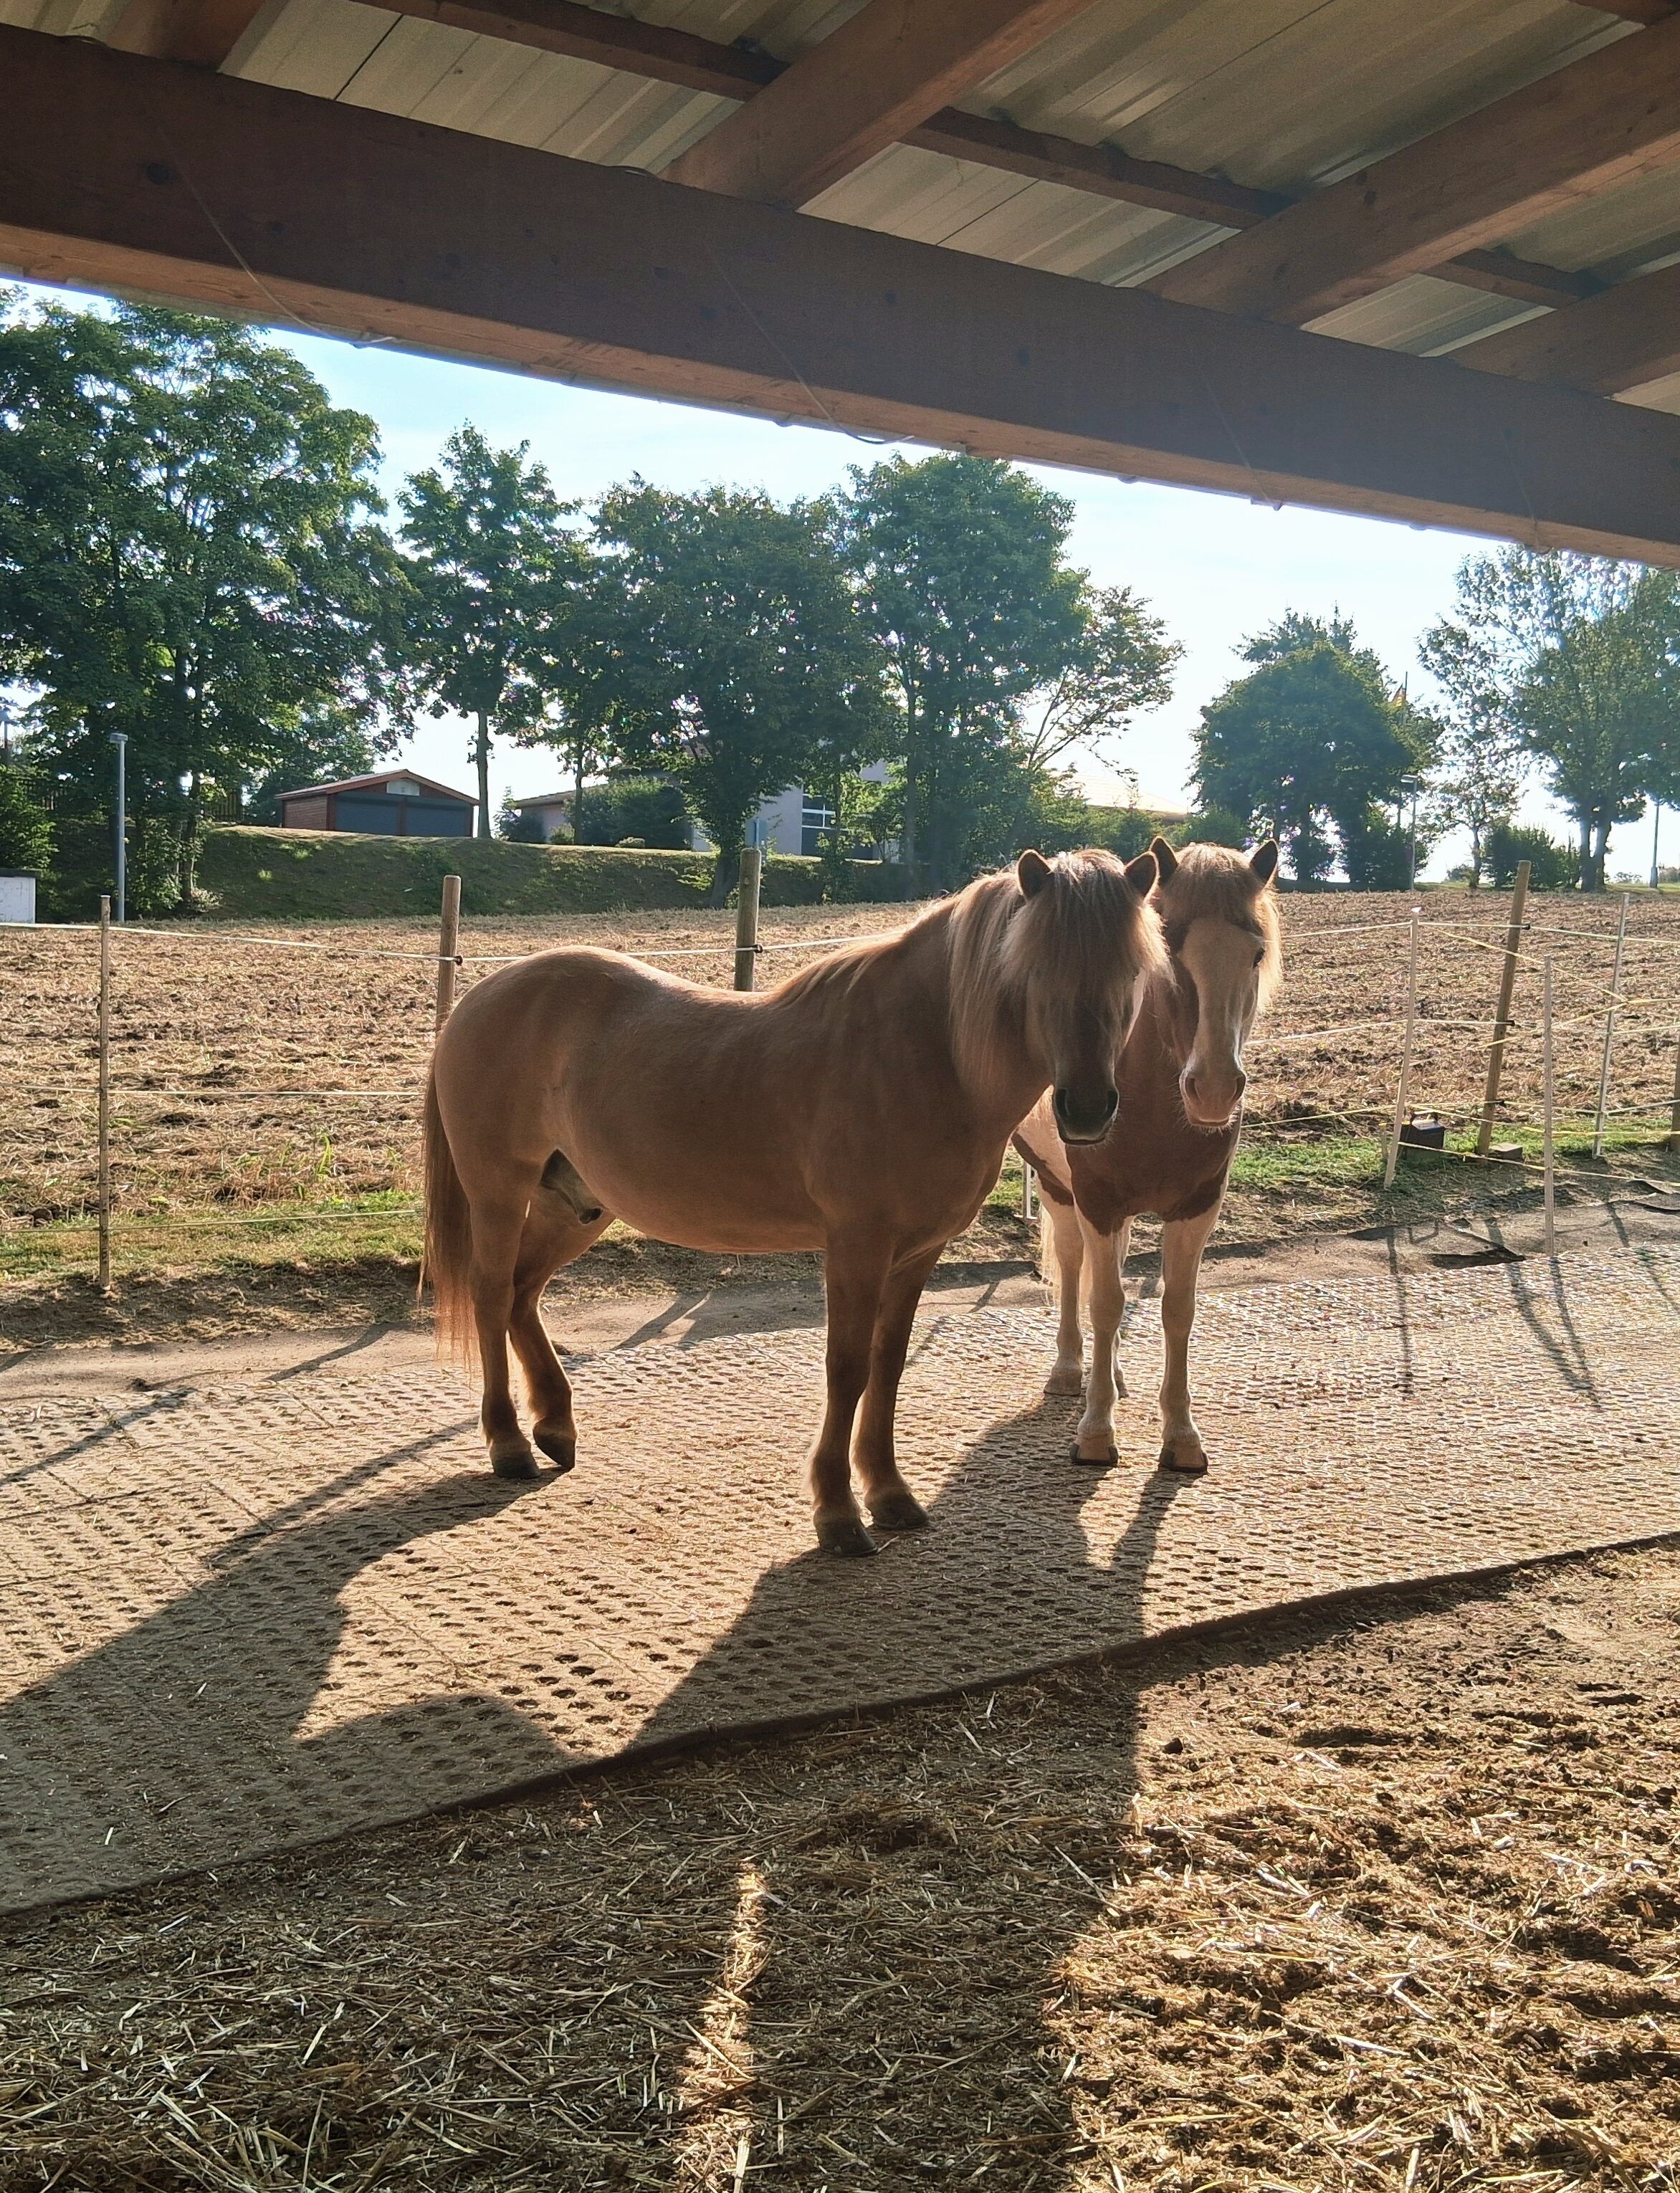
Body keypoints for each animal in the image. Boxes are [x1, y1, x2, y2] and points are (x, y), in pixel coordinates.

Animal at [424, 847, 1166, 1557]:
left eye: (1133, 972)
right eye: (1034, 968)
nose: (1088, 1110)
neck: (930, 1055)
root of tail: (480, 998)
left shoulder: (916, 1255)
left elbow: (887, 1367)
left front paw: (890, 1494)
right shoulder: (857, 1248)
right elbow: (847, 1369)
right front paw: (838, 1514)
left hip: (576, 1206)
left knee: (522, 1294)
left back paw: (555, 1427)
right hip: (499, 1192)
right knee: (491, 1295)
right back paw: (509, 1444)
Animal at [1013, 837, 1281, 1476]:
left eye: (1256, 954)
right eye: (1171, 949)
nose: (1214, 1090)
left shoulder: (1197, 1208)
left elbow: (1177, 1310)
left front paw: (1181, 1435)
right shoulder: (1098, 1201)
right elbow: (1106, 1302)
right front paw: (1094, 1431)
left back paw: (1110, 1375)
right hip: (1060, 1190)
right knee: (1074, 1266)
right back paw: (1071, 1372)